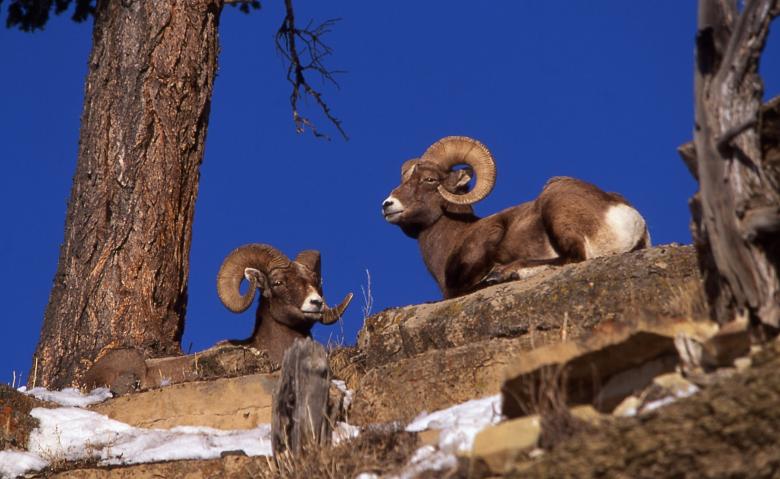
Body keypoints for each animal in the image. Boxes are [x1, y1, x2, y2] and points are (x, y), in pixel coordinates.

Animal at [381, 136, 650, 299]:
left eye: (429, 179)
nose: (387, 205)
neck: (457, 235)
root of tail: (628, 216)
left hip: (555, 208)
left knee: (572, 258)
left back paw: (504, 274)